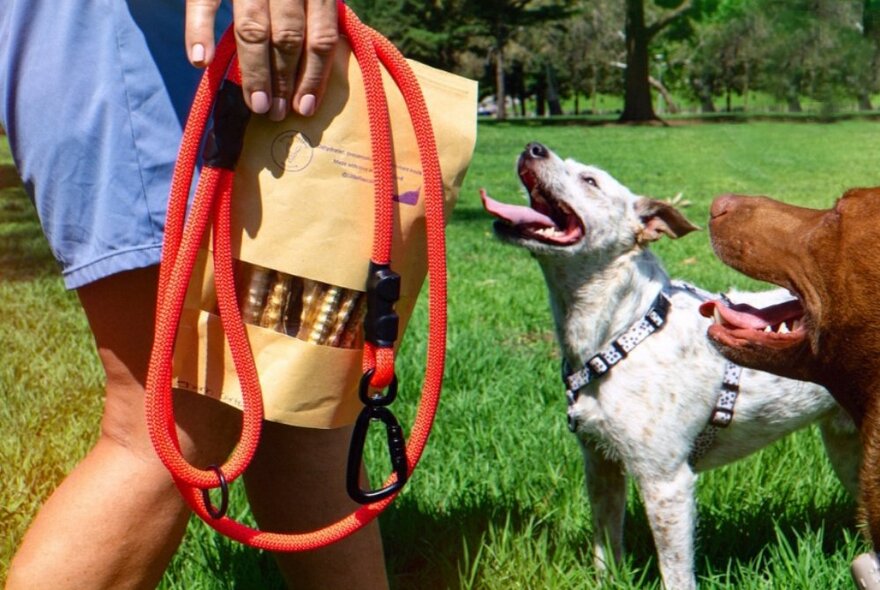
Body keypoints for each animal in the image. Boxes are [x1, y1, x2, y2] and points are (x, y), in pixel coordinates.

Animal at [482, 143, 860, 590]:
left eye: (590, 180)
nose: (533, 147)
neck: (621, 332)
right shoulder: (601, 464)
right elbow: (605, 545)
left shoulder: (666, 483)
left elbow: (676, 573)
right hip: (845, 446)